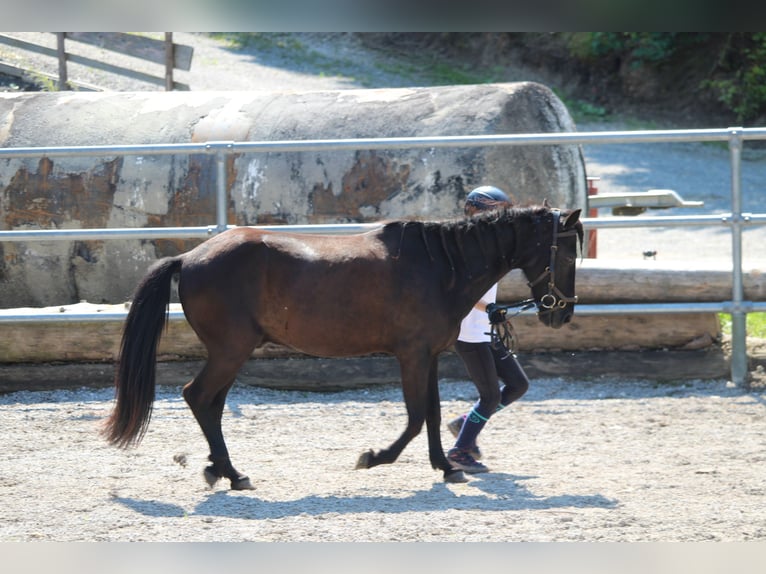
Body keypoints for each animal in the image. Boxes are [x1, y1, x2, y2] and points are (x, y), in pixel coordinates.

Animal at [103, 204, 583, 488]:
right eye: (565, 252)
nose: (561, 313)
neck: (439, 266)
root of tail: (190, 257)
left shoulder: (428, 356)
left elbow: (431, 413)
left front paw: (446, 467)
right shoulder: (412, 355)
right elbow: (414, 417)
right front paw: (374, 457)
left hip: (229, 354)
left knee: (212, 405)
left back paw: (219, 469)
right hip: (230, 351)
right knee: (198, 397)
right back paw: (233, 473)